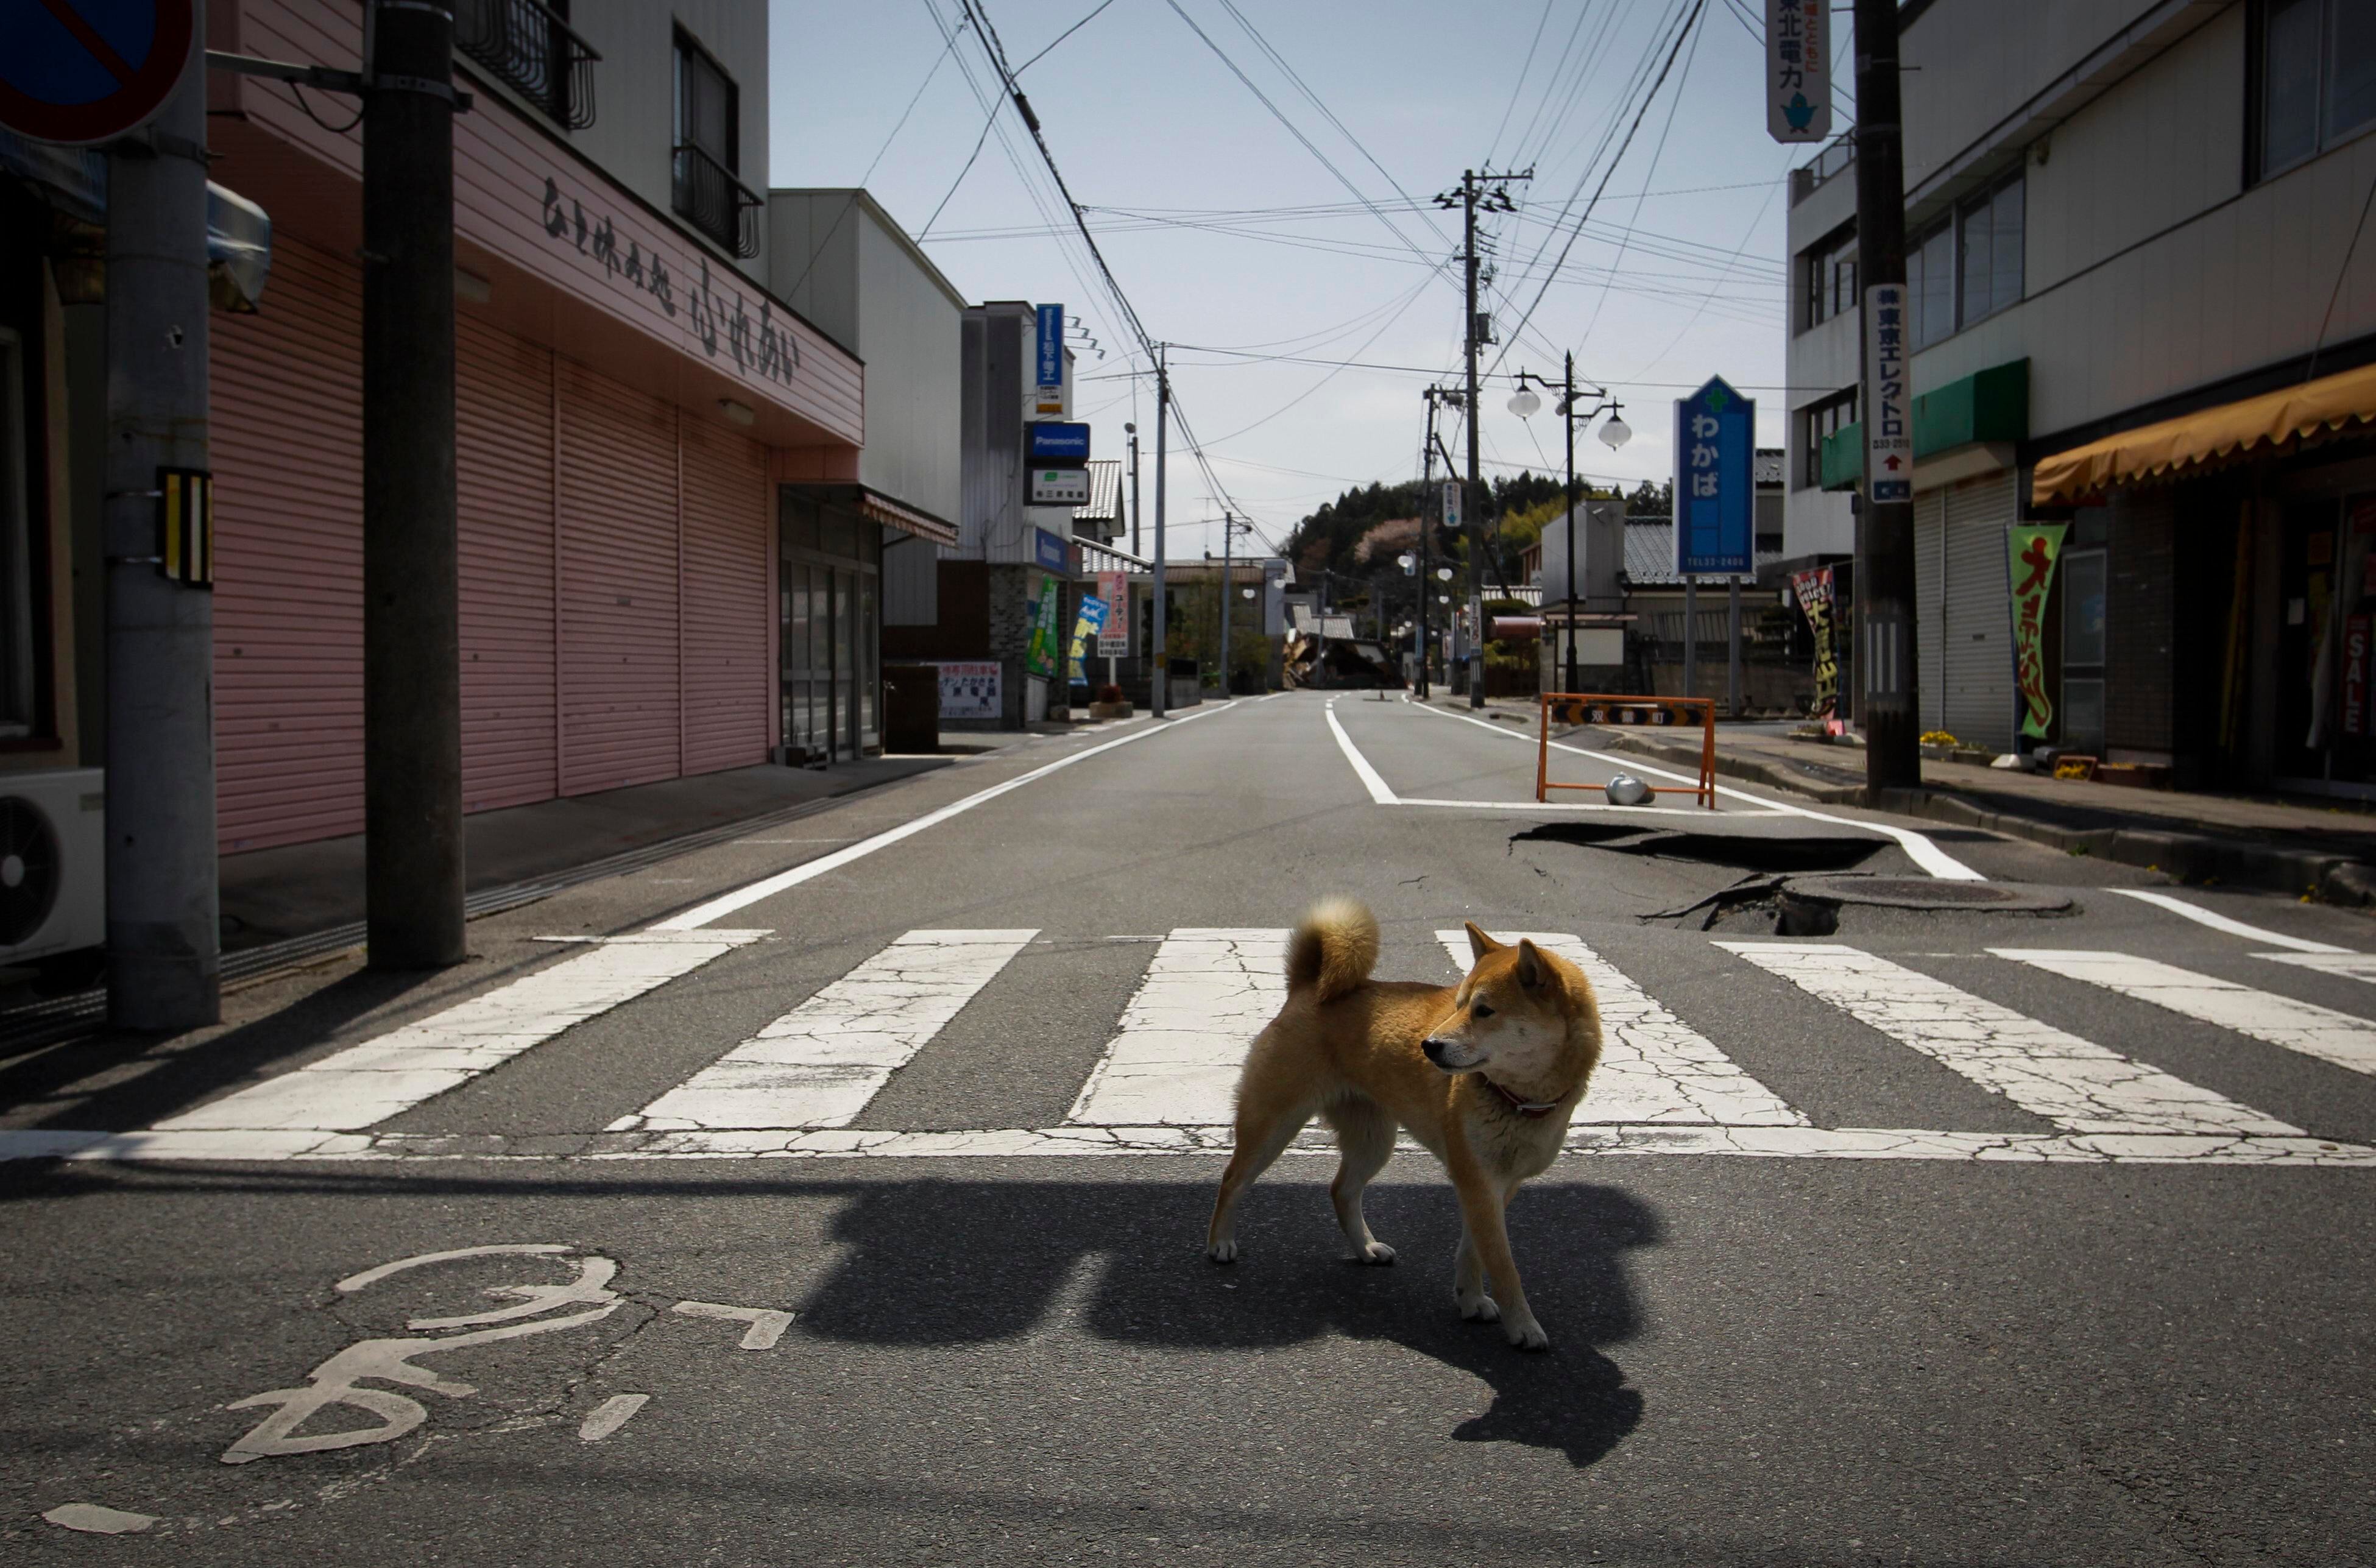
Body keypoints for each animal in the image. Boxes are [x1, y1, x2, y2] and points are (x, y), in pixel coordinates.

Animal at [1197, 898, 1606, 1349]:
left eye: (1484, 1011)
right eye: (1458, 1004)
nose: (1428, 1046)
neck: (1517, 1100)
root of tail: (1308, 988)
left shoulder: (1496, 1185)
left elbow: (1474, 1251)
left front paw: (1470, 1300)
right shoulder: (1477, 1180)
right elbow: (1503, 1266)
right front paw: (1523, 1326)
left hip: (1374, 1139)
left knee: (1342, 1191)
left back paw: (1365, 1249)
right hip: (1273, 1123)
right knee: (1233, 1179)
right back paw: (1221, 1242)